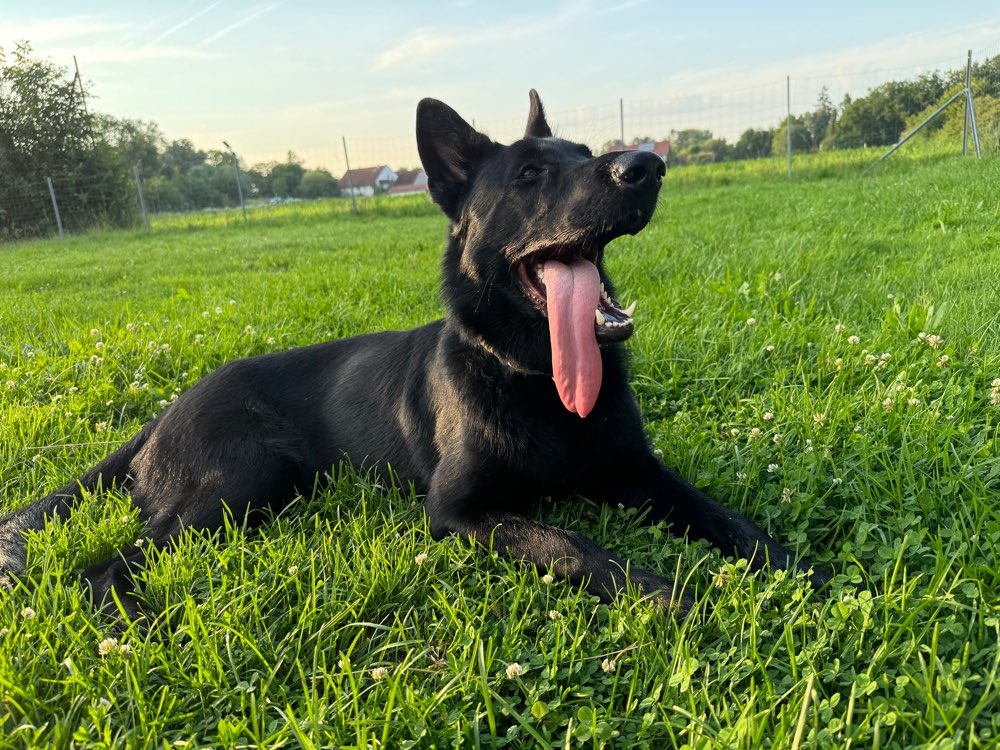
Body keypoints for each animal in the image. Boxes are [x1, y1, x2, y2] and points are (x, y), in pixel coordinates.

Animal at [0, 92, 828, 616]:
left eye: (588, 153)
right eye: (531, 174)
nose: (647, 167)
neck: (532, 377)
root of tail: (167, 411)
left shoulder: (640, 473)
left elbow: (728, 519)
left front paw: (802, 572)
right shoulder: (460, 510)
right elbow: (572, 544)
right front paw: (667, 595)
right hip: (245, 477)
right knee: (103, 569)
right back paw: (135, 625)